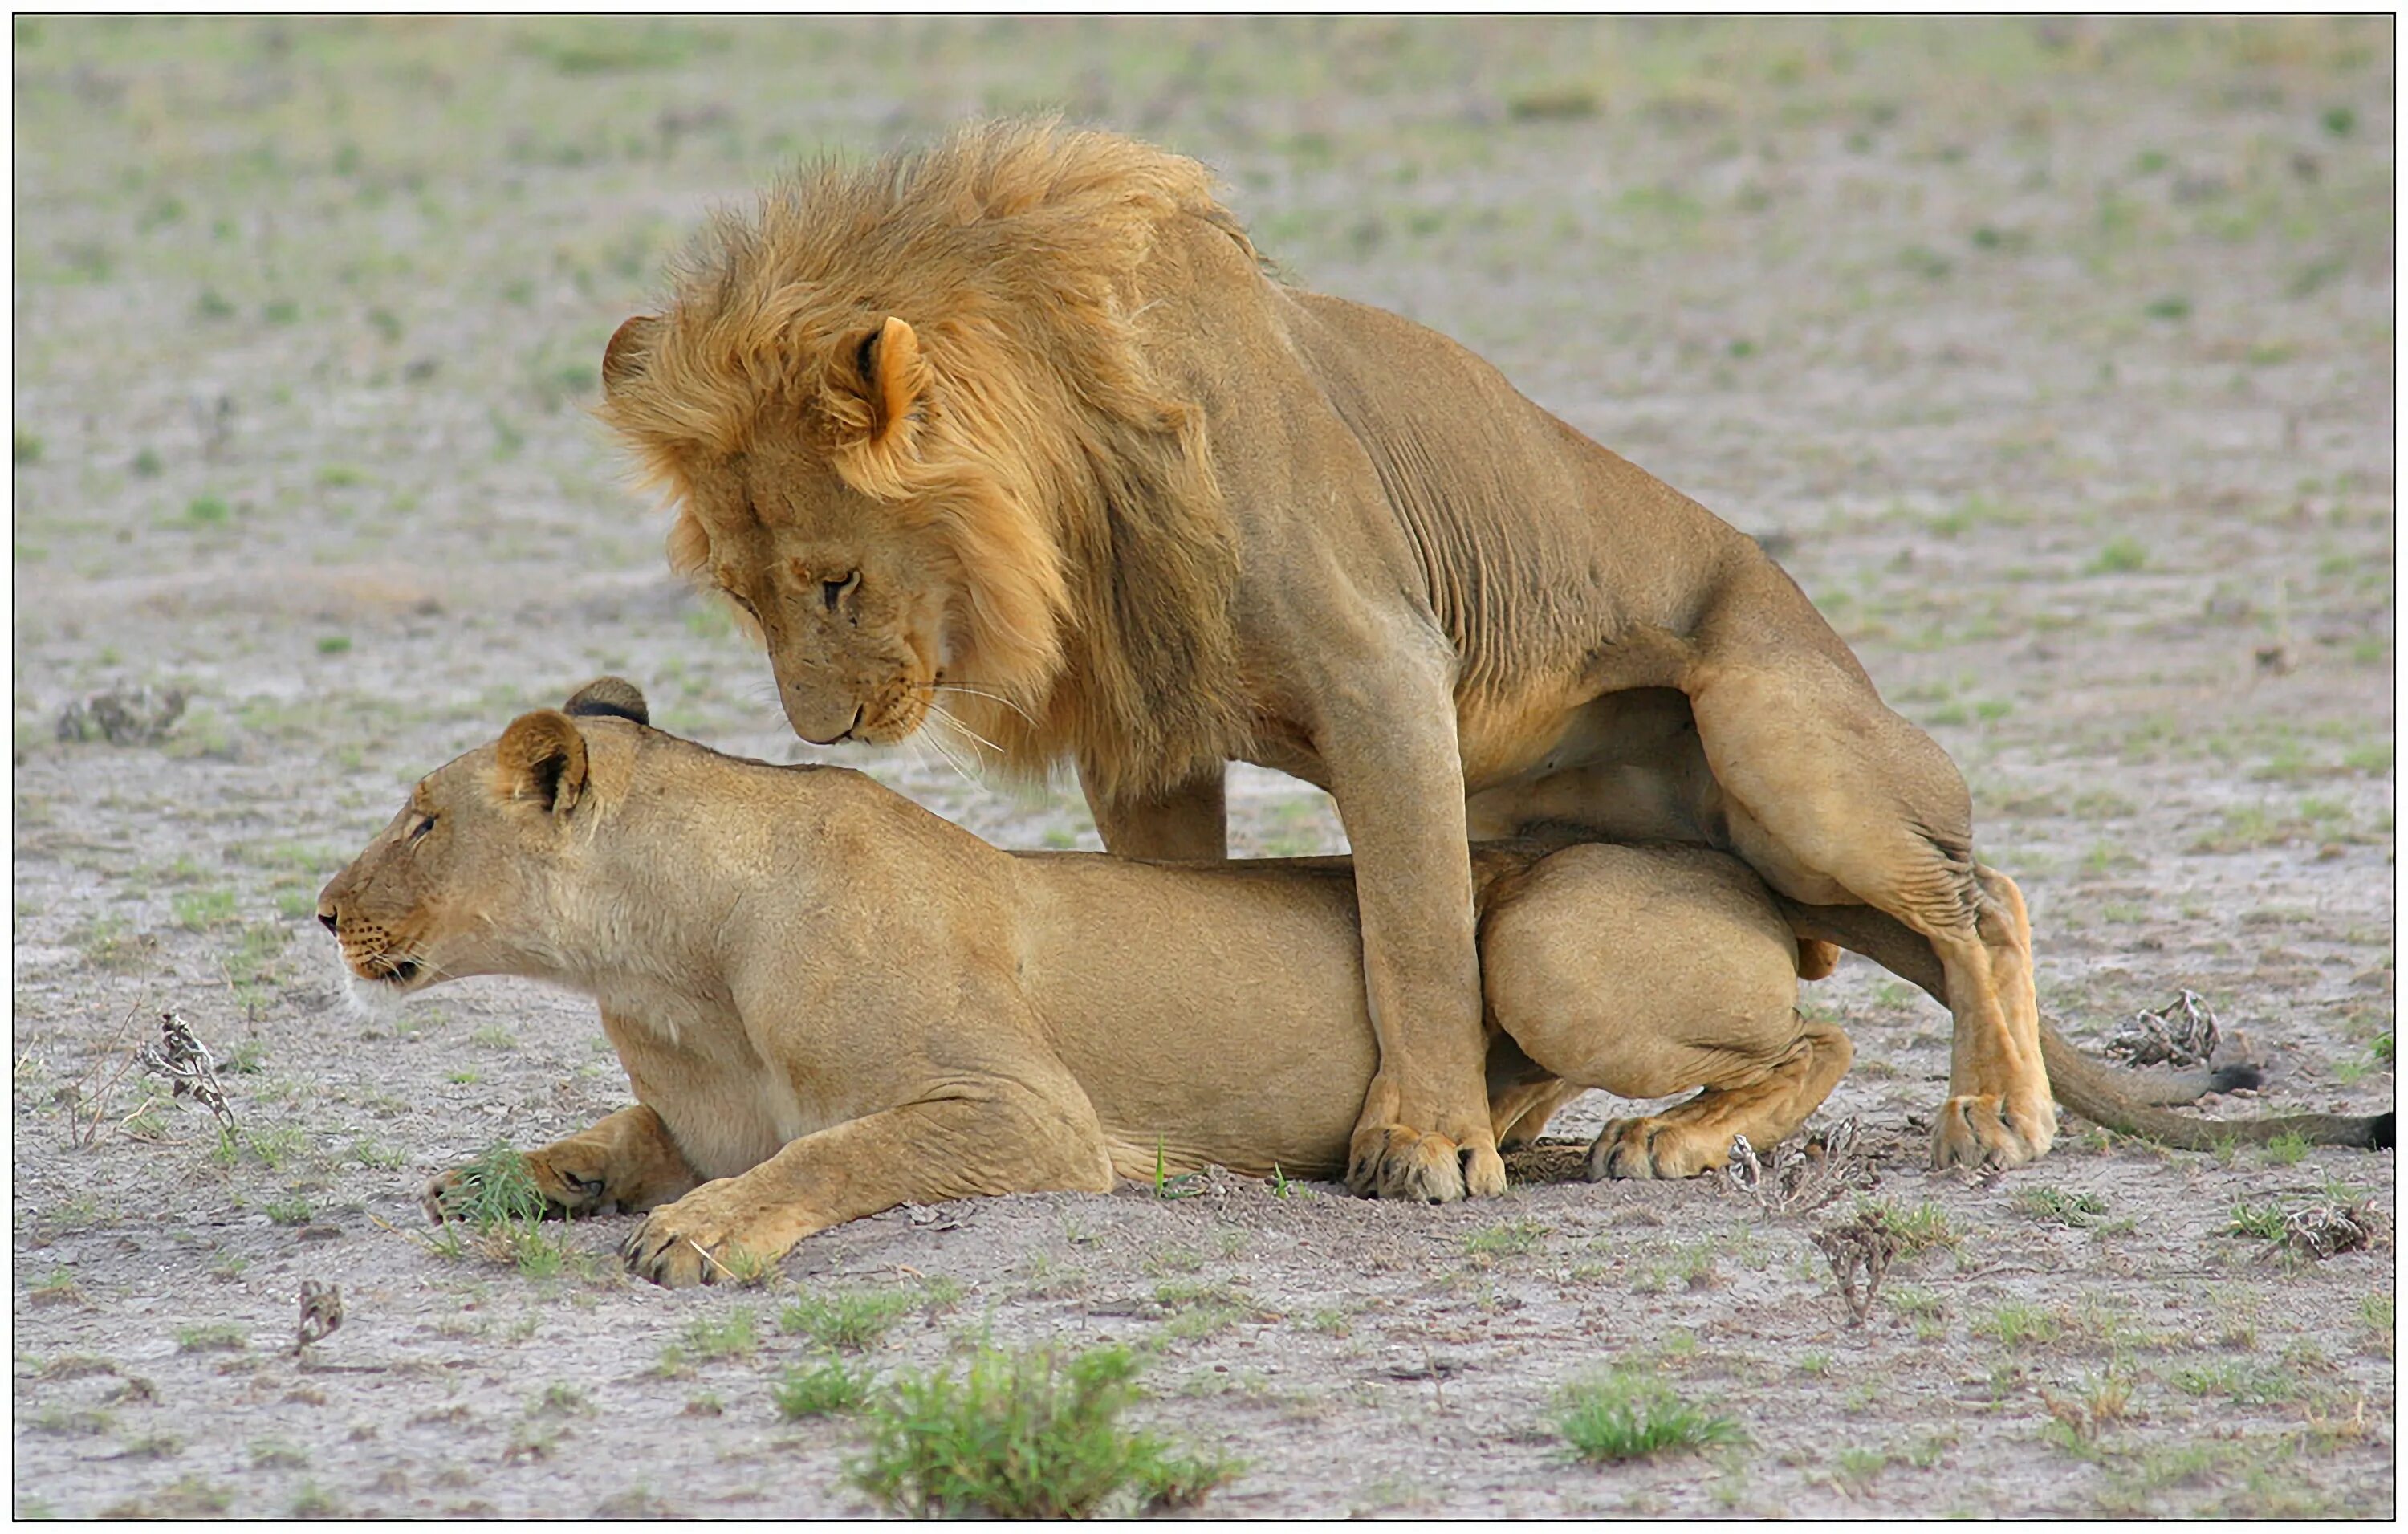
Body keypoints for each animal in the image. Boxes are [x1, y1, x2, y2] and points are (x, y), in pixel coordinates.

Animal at [311, 679, 2379, 1281]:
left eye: (419, 817)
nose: (323, 912)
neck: (661, 963)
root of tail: (1729, 854)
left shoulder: (1024, 1116)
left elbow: (832, 1154)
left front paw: (700, 1236)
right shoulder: (676, 1090)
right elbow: (610, 1137)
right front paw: (506, 1177)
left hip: (1543, 933)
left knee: (1822, 1024)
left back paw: (1670, 1147)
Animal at [607, 123, 2052, 1194]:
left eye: (834, 581)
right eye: (740, 598)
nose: (822, 736)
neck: (1078, 464)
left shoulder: (1386, 669)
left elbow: (1414, 928)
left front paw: (1429, 1144)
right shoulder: (1150, 737)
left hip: (1770, 727)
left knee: (1981, 898)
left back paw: (1994, 1113)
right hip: (1694, 831)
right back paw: (1653, 1127)